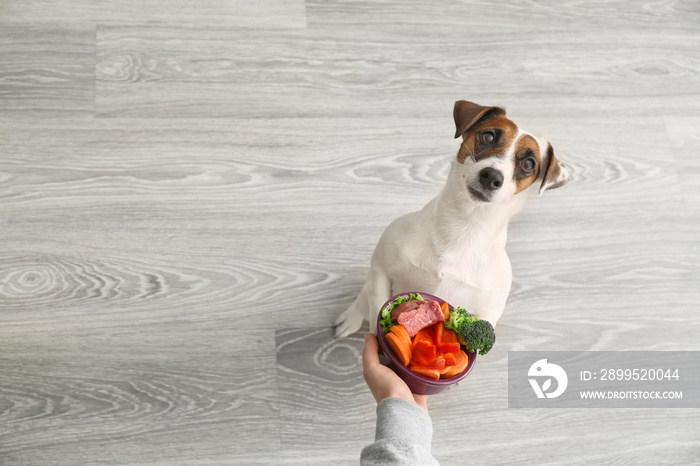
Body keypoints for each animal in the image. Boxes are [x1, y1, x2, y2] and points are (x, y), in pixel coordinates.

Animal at [336, 100, 572, 336]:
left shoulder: (486, 315)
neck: (464, 224)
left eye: (528, 164)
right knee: (363, 299)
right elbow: (376, 309)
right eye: (488, 137)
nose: (491, 176)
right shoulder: (381, 270)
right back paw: (351, 317)